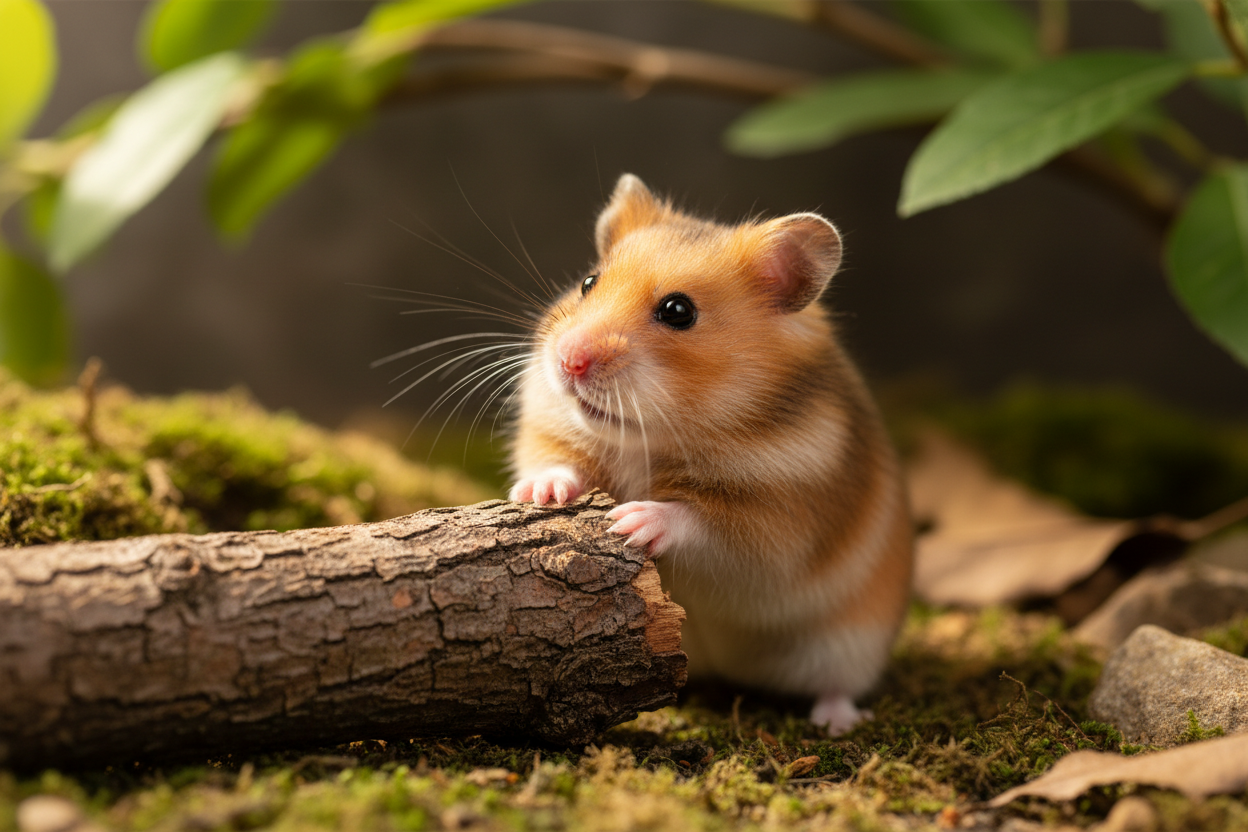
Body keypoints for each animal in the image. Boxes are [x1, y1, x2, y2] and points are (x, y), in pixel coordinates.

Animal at [508, 174, 913, 734]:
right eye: (589, 282)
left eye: (678, 311)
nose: (569, 361)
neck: (650, 438)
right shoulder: (548, 426)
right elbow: (555, 461)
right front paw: (538, 493)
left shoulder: (781, 527)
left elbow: (705, 523)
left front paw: (630, 521)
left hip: (850, 643)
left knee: (838, 686)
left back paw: (837, 723)